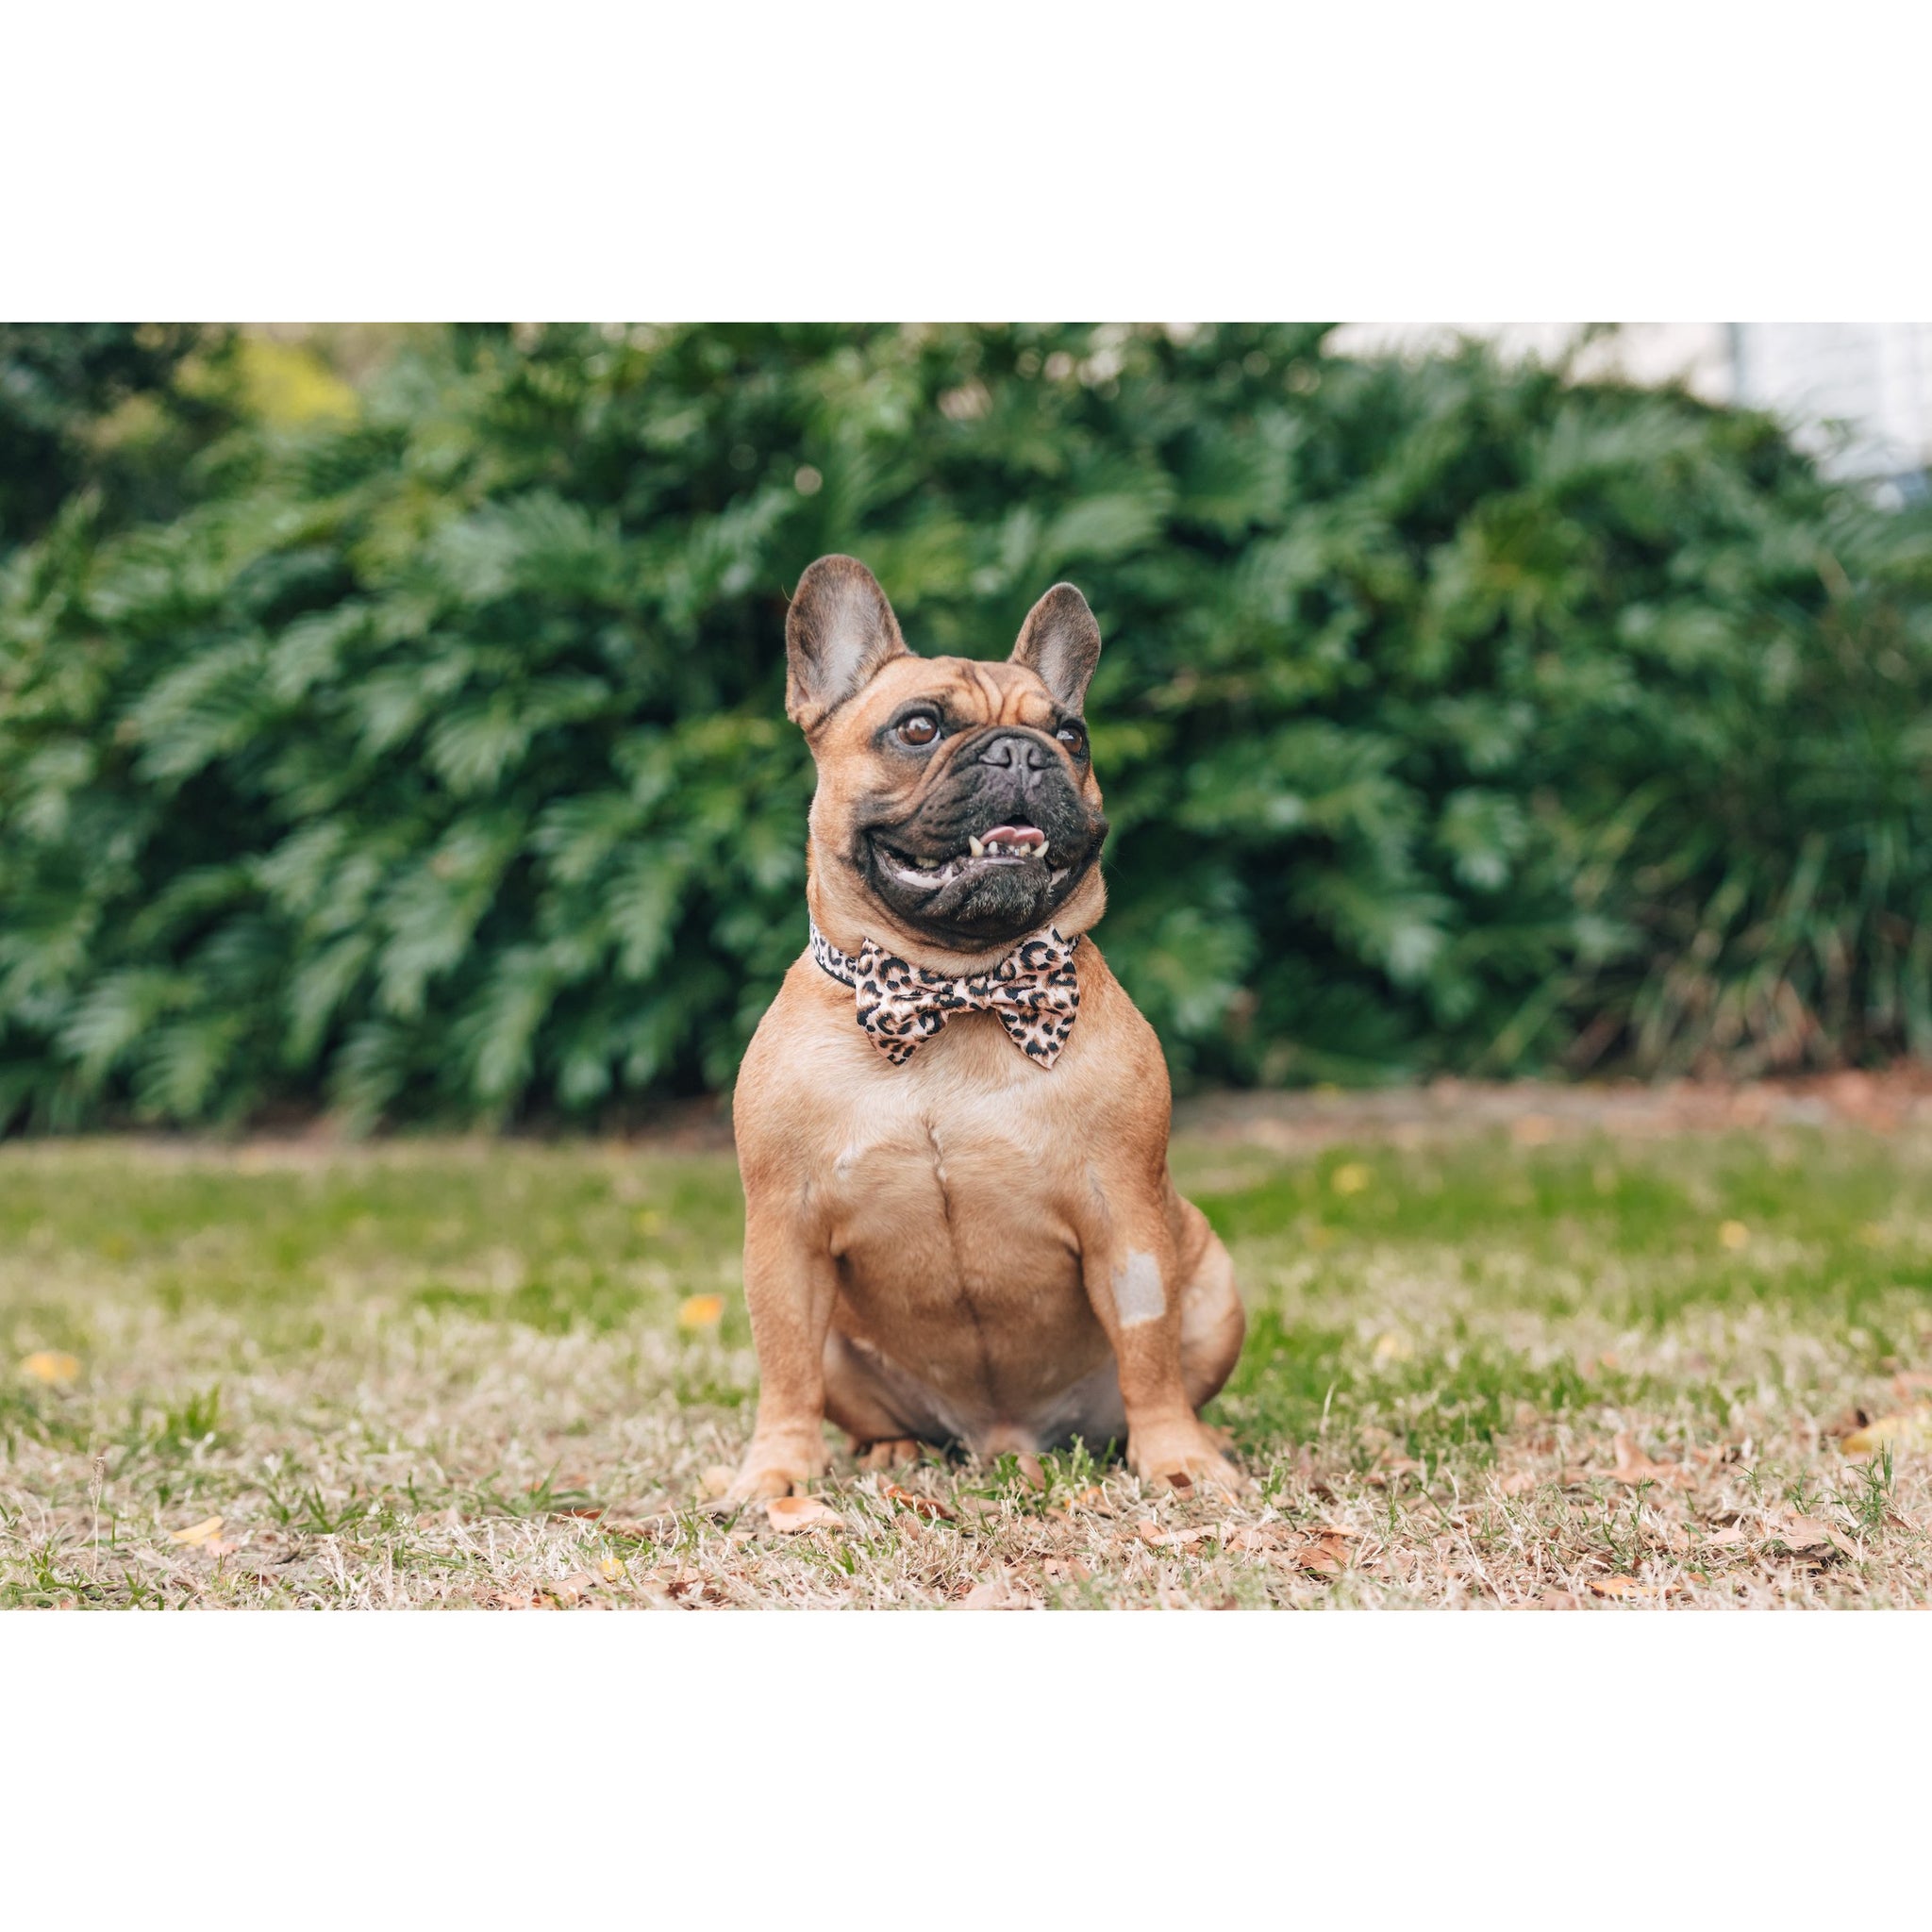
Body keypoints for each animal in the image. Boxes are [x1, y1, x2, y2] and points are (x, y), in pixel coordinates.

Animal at [726, 552, 1252, 1499]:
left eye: (1073, 736)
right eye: (919, 727)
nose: (1023, 751)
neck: (958, 990)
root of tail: (1002, 1438)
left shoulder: (1127, 1220)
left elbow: (1148, 1348)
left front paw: (1178, 1459)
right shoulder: (785, 1232)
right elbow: (784, 1363)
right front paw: (778, 1473)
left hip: (1213, 1281)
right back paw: (892, 1450)